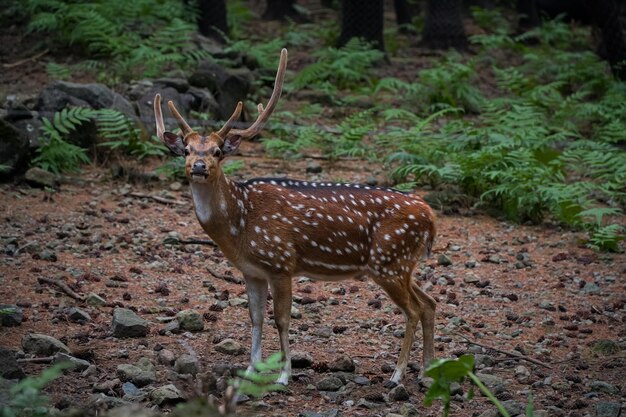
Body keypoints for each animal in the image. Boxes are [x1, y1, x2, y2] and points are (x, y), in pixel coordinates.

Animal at [152, 48, 434, 386]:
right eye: (186, 150)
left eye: (218, 151)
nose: (198, 166)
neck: (240, 224)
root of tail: (430, 215)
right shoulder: (252, 271)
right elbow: (256, 319)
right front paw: (250, 370)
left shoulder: (281, 263)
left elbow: (282, 320)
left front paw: (283, 375)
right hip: (402, 265)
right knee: (430, 303)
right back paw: (428, 370)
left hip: (389, 261)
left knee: (414, 310)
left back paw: (398, 374)